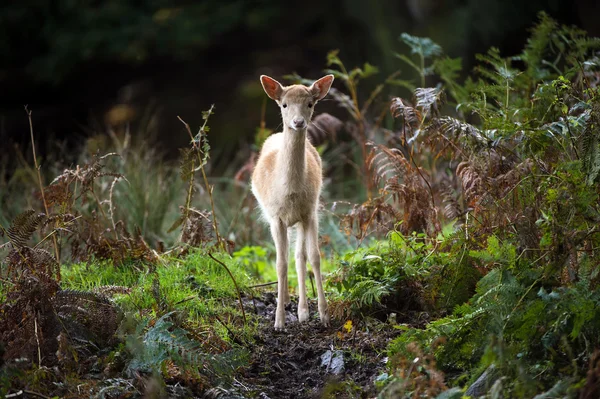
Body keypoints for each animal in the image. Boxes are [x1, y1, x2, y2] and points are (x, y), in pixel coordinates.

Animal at [248, 75, 332, 332]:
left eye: (310, 103)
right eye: (284, 104)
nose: (298, 122)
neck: (290, 192)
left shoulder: (310, 212)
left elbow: (313, 257)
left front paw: (324, 316)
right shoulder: (276, 217)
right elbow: (280, 264)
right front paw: (278, 322)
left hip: (301, 220)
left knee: (299, 256)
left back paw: (303, 311)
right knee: (286, 257)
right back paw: (285, 301)